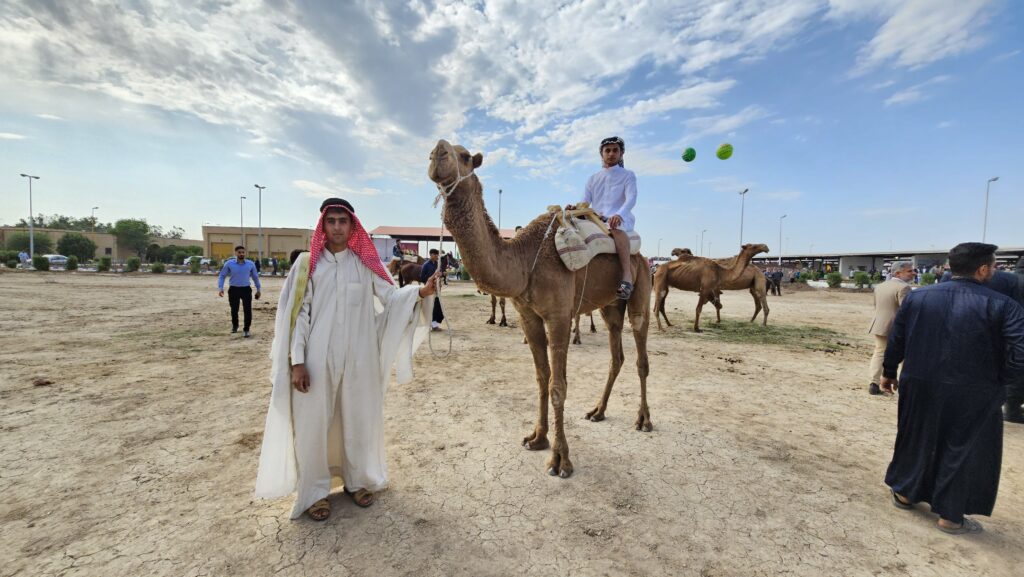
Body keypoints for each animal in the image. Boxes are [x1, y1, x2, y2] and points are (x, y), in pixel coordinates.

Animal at [428, 140, 651, 479]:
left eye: (464, 156)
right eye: (432, 153)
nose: (437, 151)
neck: (524, 260)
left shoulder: (558, 317)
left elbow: (558, 385)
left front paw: (560, 460)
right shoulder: (528, 316)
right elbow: (541, 377)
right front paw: (537, 438)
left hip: (640, 291)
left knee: (641, 356)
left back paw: (644, 419)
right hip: (610, 307)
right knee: (617, 355)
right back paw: (598, 411)